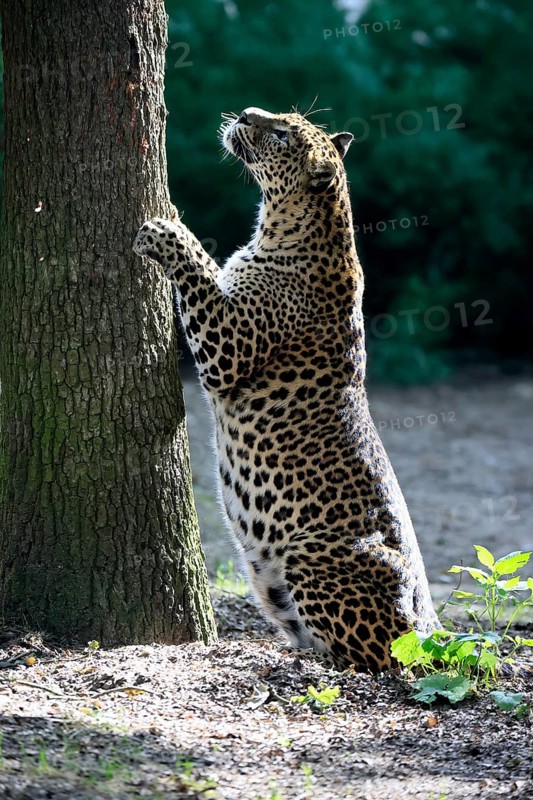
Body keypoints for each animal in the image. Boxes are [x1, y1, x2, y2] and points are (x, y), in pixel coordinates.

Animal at [133, 106, 439, 672]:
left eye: (280, 135)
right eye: (284, 118)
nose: (246, 112)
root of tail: (434, 630)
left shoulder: (227, 345)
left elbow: (201, 269)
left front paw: (165, 230)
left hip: (309, 553)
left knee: (376, 657)